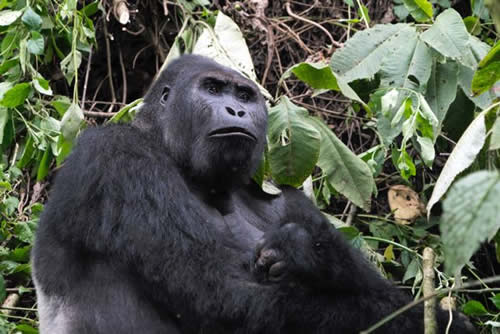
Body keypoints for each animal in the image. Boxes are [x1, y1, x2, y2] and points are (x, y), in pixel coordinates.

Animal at [32, 55, 472, 334]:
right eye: (212, 89)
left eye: (244, 96)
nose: (237, 111)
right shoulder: (117, 157)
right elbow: (227, 297)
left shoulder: (286, 199)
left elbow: (374, 288)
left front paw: (312, 252)